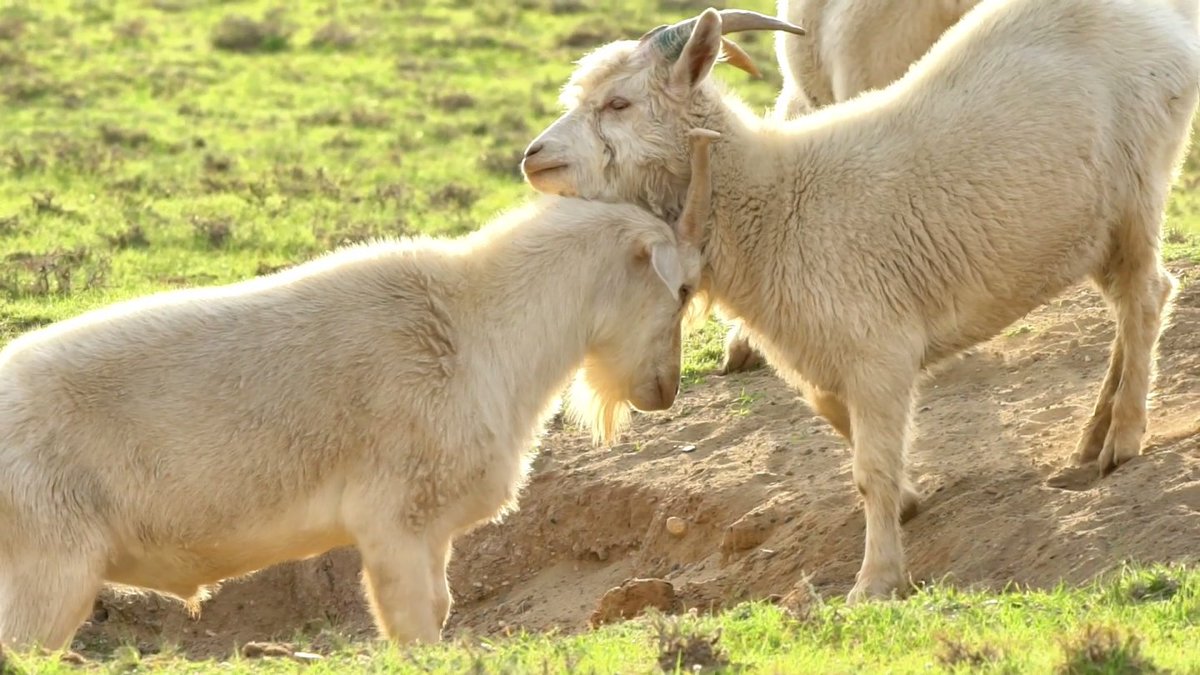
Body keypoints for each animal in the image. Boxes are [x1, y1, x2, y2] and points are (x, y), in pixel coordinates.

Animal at [0, 130, 719, 652]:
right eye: (682, 288)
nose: (665, 390)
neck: (478, 322)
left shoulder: (432, 530)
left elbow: (441, 609)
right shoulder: (394, 517)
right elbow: (416, 627)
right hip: (48, 564)